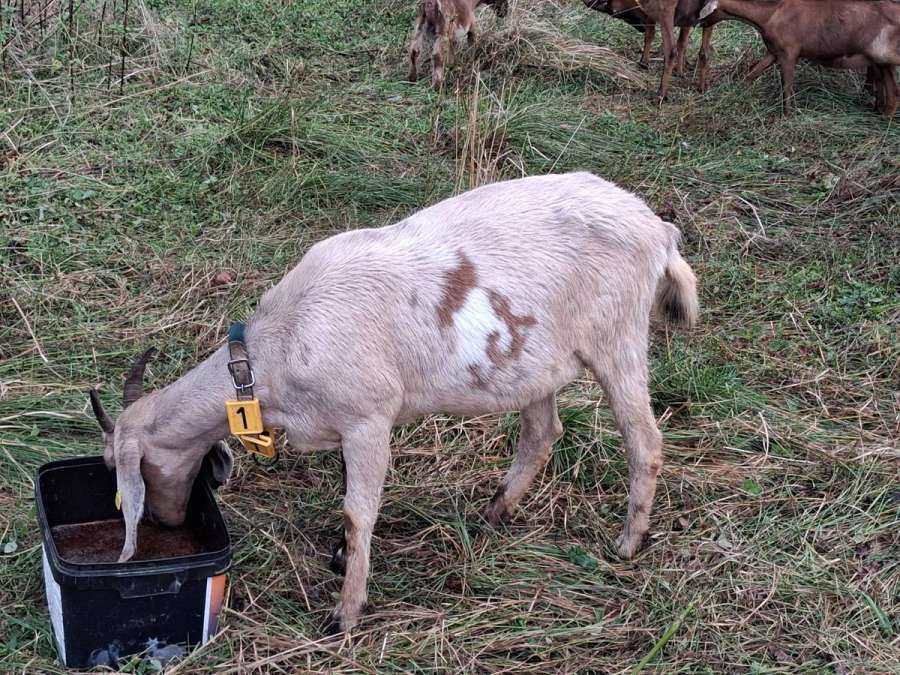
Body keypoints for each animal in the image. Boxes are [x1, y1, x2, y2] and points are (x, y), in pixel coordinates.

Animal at [88, 172, 699, 634]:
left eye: (124, 467)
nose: (164, 522)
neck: (278, 346)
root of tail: (659, 228)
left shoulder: (368, 418)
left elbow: (358, 511)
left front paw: (344, 613)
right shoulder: (344, 424)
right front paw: (339, 560)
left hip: (618, 338)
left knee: (643, 440)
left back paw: (626, 543)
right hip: (532, 364)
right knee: (543, 432)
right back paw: (494, 513)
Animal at [698, 0, 900, 115]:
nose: (700, 23)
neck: (770, 14)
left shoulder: (789, 53)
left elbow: (787, 87)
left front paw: (788, 116)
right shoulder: (774, 52)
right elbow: (752, 74)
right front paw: (735, 92)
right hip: (882, 61)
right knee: (892, 93)